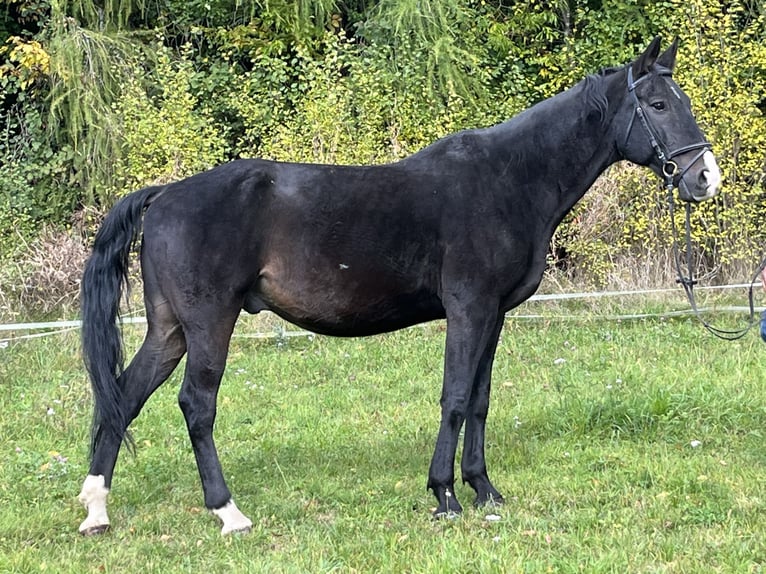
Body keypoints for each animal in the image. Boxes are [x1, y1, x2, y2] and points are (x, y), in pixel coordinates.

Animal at [78, 36, 721, 535]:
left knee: (123, 396)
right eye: (658, 104)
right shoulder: (468, 309)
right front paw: (445, 495)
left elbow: (480, 400)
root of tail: (165, 194)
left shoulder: (494, 315)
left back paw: (96, 509)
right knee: (196, 404)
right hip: (210, 323)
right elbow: (455, 397)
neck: (508, 179)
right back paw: (227, 512)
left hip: (169, 329)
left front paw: (485, 490)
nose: (706, 178)